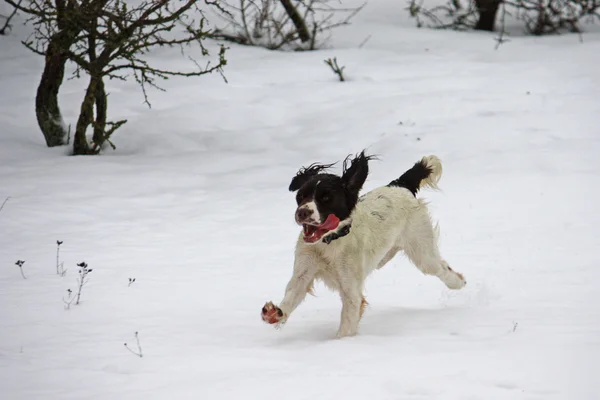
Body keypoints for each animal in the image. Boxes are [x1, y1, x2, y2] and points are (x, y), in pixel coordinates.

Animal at [260, 152, 466, 340]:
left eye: (326, 198)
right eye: (301, 196)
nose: (302, 212)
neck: (329, 243)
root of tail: (400, 185)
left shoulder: (351, 291)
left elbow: (346, 325)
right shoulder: (303, 273)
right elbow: (292, 295)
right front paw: (274, 313)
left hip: (422, 250)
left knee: (442, 268)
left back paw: (458, 282)